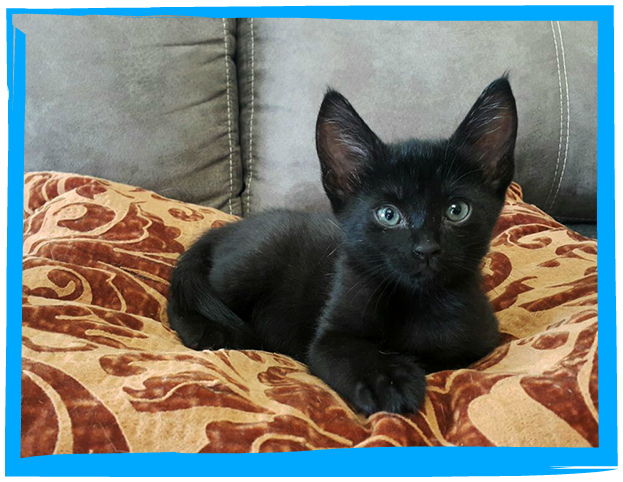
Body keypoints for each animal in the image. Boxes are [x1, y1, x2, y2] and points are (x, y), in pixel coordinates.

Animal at [167, 76, 517, 415]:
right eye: (388, 214)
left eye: (456, 210)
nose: (427, 249)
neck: (417, 301)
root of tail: (226, 228)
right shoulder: (330, 333)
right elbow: (349, 350)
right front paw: (388, 381)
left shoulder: (480, 340)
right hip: (254, 259)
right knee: (179, 297)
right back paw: (207, 331)